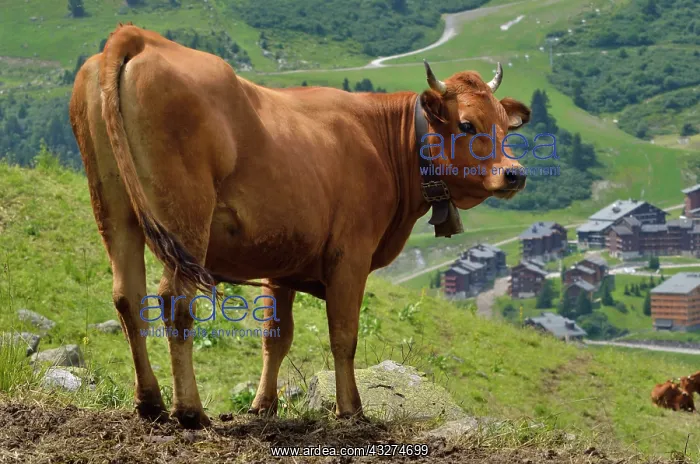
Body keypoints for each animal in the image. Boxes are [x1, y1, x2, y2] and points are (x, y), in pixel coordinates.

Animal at [69, 23, 531, 429]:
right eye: (467, 124)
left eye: (504, 126)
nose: (515, 174)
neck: (381, 140)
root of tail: (139, 37)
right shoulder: (350, 255)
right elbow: (344, 336)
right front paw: (351, 409)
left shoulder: (280, 261)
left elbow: (276, 337)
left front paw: (263, 406)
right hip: (186, 219)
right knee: (174, 301)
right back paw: (189, 411)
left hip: (114, 210)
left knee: (128, 297)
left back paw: (150, 404)